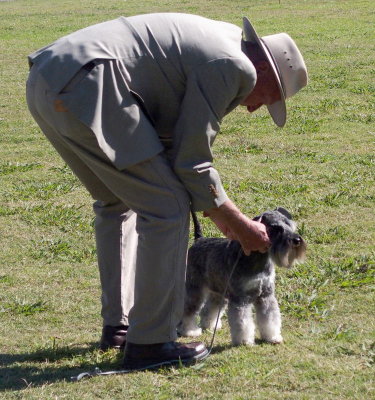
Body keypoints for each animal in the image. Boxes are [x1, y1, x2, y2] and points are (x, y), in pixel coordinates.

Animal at [178, 208, 306, 346]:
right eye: (276, 228)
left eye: (288, 224)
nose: (297, 240)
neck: (257, 259)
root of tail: (198, 240)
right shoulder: (241, 298)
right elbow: (243, 322)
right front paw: (245, 341)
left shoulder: (266, 295)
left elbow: (270, 318)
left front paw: (273, 337)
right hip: (195, 290)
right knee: (188, 310)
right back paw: (189, 331)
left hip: (219, 291)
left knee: (210, 307)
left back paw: (210, 325)